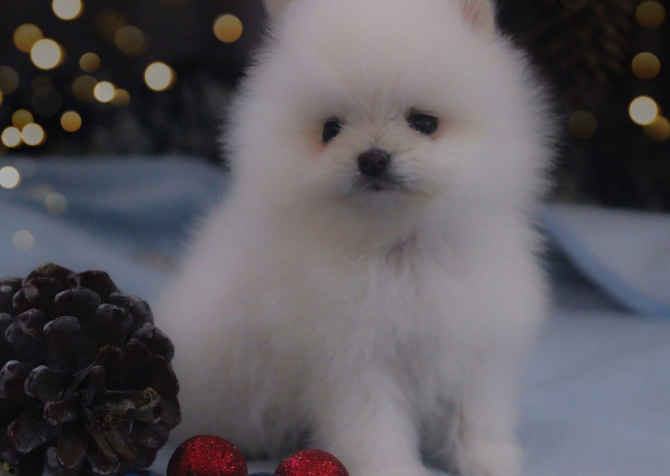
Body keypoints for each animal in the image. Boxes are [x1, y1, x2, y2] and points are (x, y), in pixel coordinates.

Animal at [159, 0, 556, 476]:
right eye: (330, 129)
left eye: (424, 122)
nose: (373, 159)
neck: (397, 248)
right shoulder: (354, 361)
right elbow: (373, 426)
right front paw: (393, 469)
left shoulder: (475, 342)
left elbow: (476, 416)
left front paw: (489, 462)